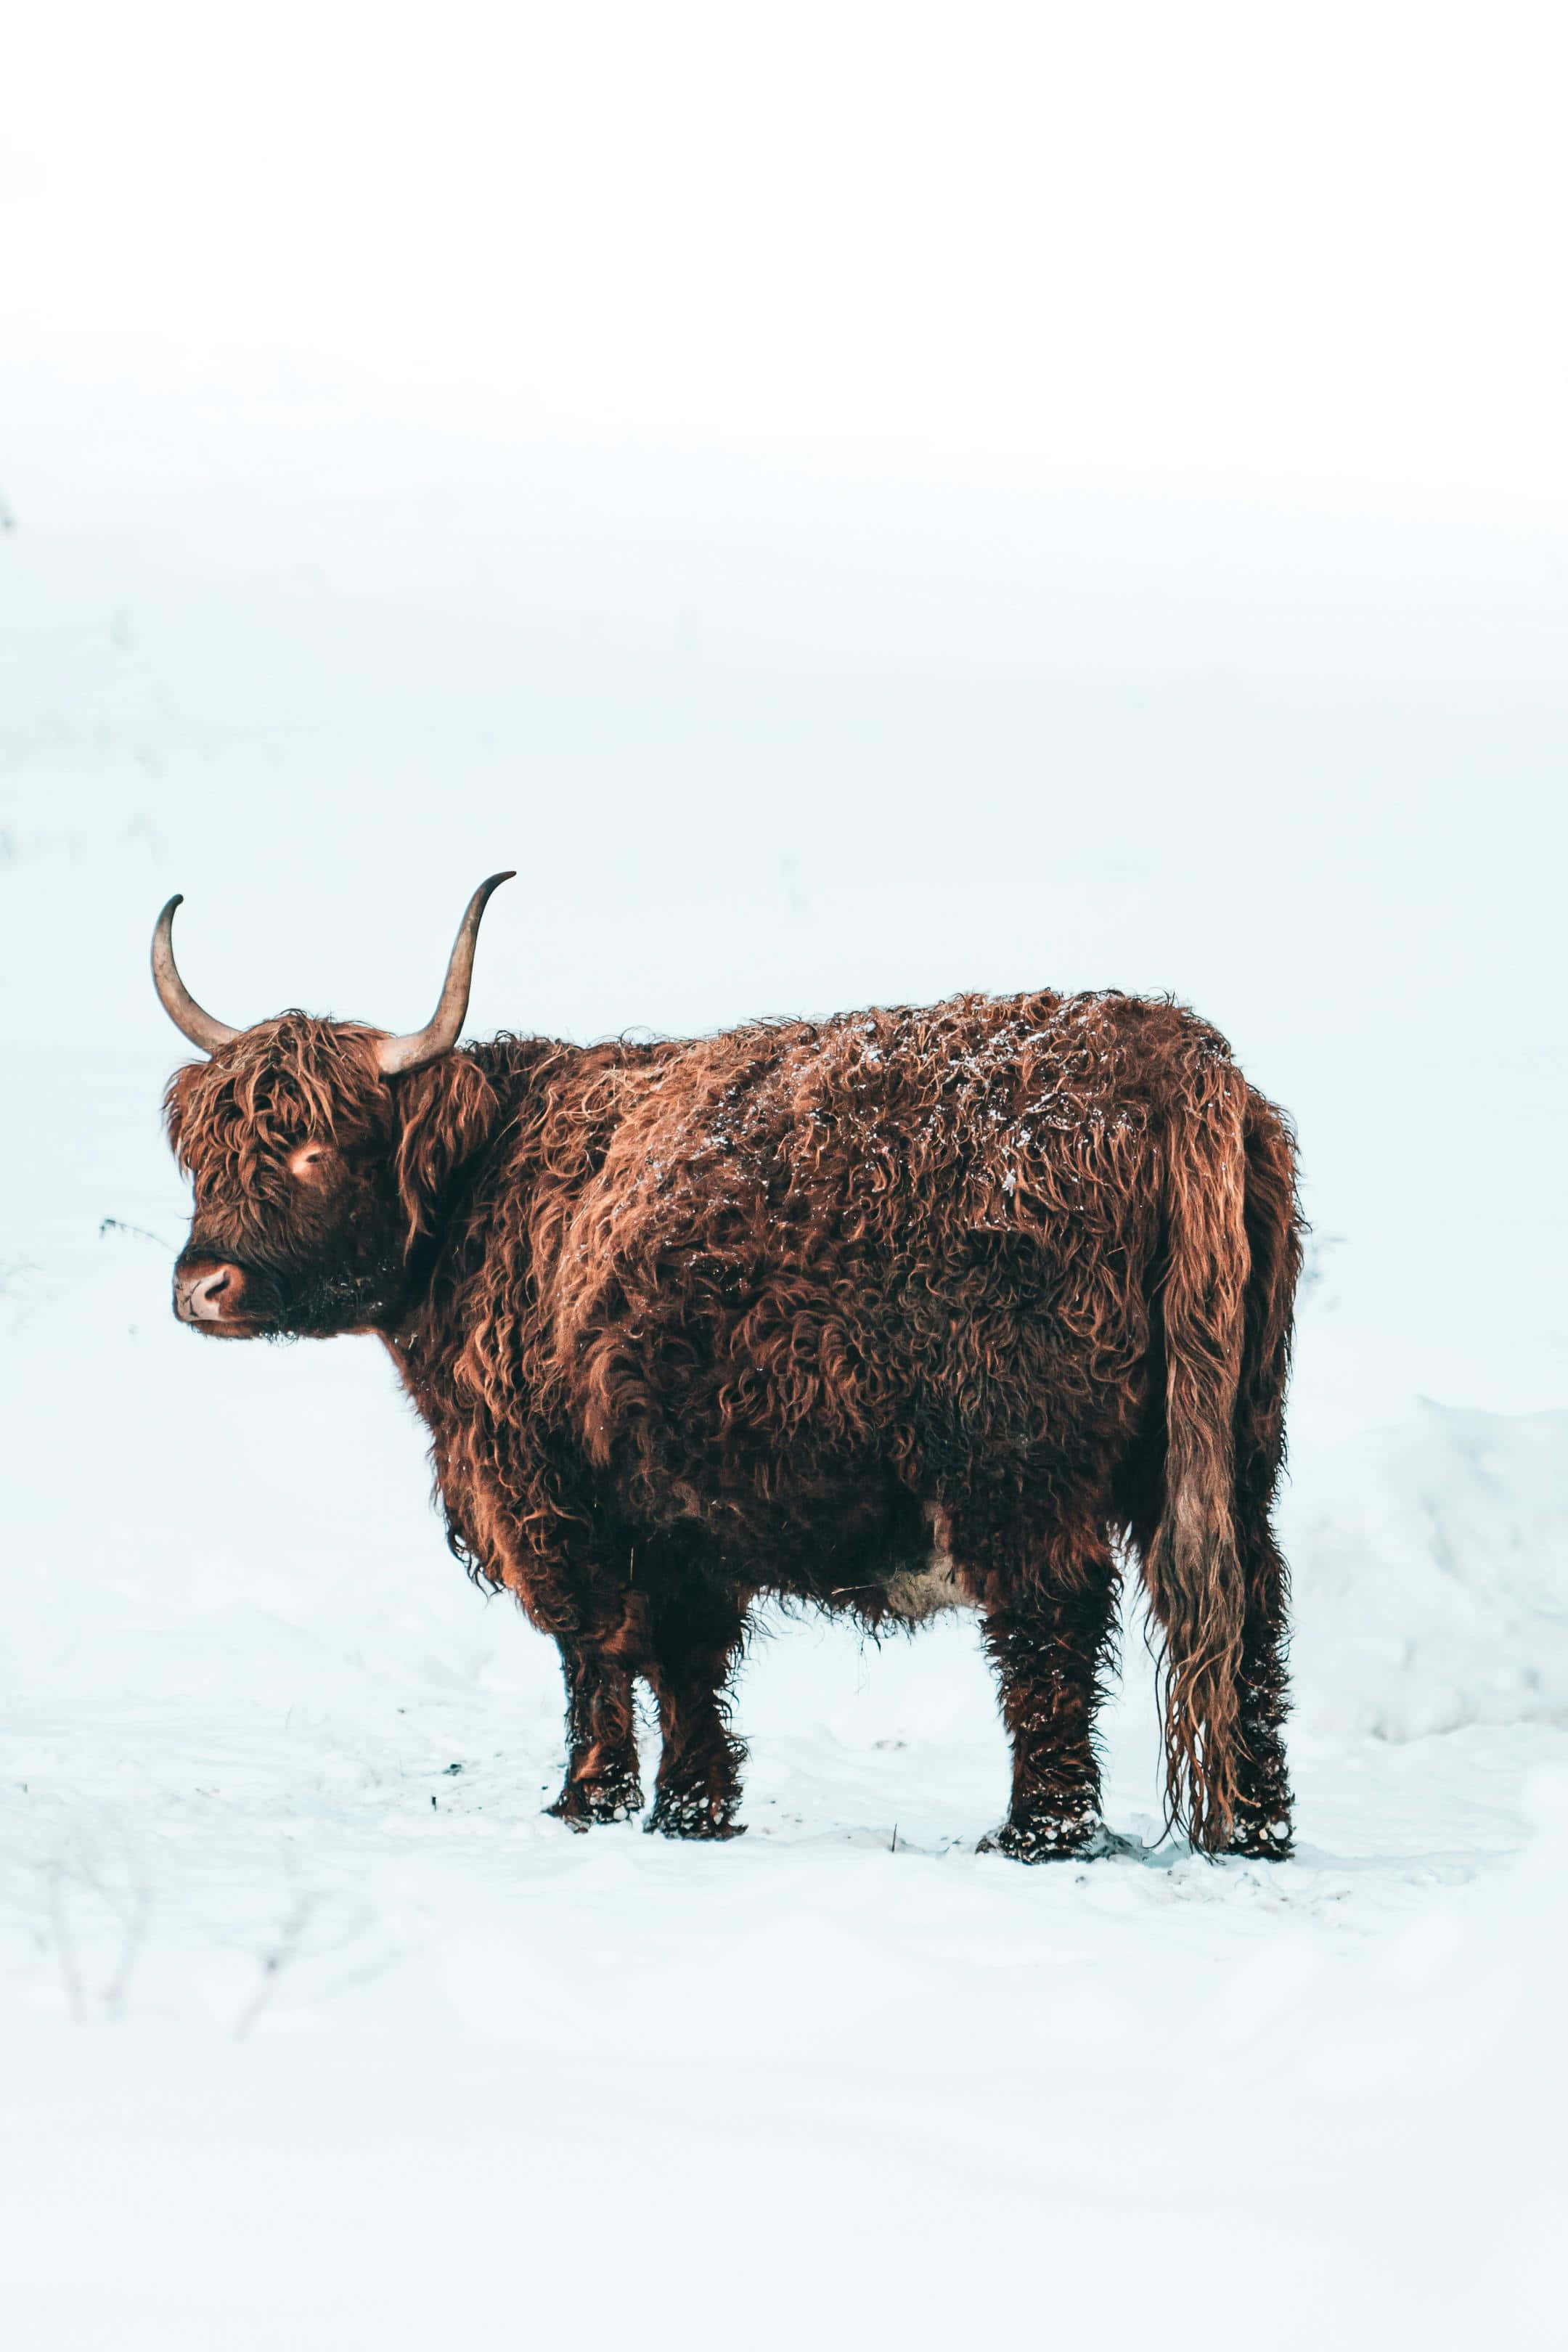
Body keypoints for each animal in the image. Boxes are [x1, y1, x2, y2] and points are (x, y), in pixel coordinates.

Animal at [153, 876, 1301, 1859]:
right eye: (207, 1154)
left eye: (317, 1147)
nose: (202, 1286)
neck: (481, 1198)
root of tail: (1172, 1059)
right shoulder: (676, 1505)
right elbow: (687, 1658)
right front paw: (691, 1809)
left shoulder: (552, 1490)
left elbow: (597, 1648)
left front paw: (589, 1801)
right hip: (1234, 1445)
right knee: (1250, 1612)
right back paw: (1257, 1825)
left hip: (1016, 1464)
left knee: (1050, 1622)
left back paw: (1039, 1833)